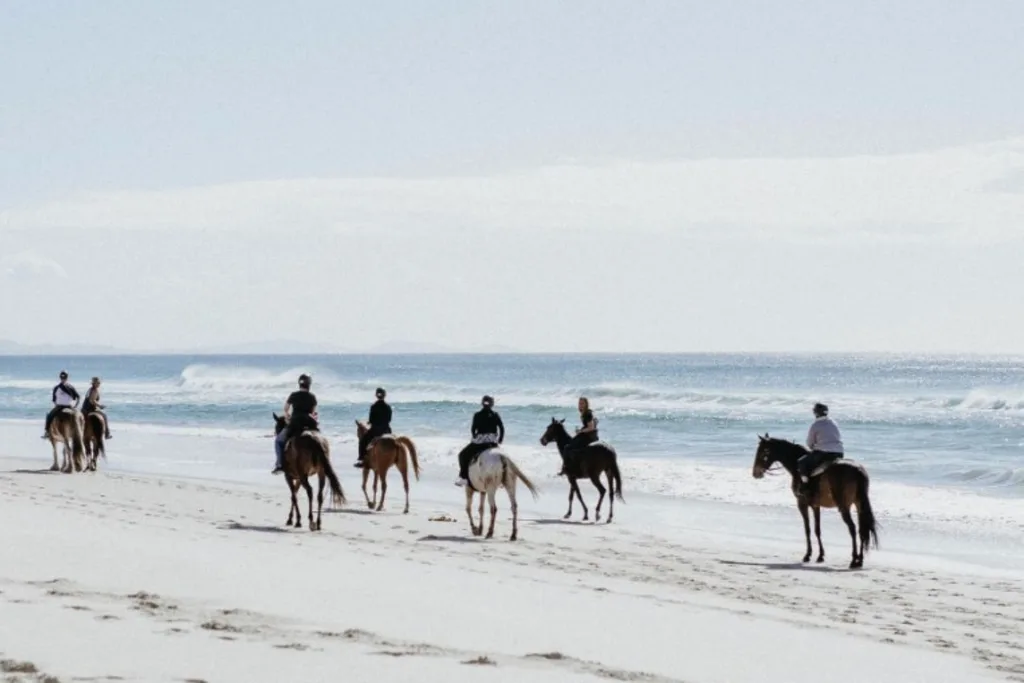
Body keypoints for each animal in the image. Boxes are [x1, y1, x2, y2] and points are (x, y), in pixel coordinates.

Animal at [753, 436, 880, 569]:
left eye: (761, 452)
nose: (755, 473)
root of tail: (858, 470)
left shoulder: (802, 504)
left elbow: (807, 529)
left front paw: (807, 555)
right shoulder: (815, 506)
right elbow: (817, 529)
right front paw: (820, 556)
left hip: (844, 506)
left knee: (852, 528)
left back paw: (853, 559)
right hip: (859, 505)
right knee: (862, 529)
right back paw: (860, 560)